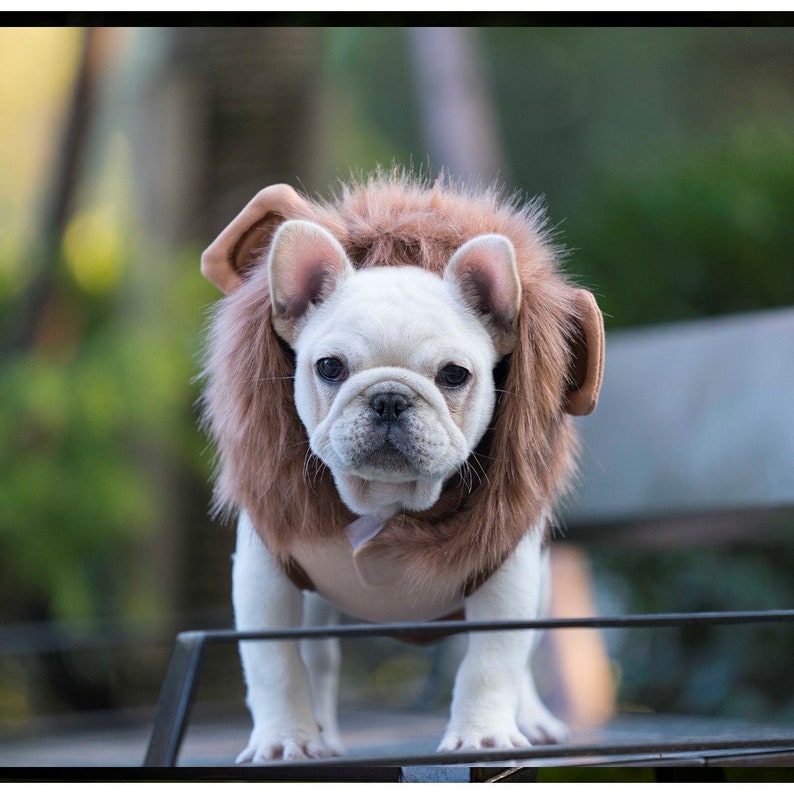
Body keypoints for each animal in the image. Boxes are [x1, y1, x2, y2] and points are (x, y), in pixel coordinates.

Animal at [198, 170, 600, 756]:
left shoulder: (506, 574)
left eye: (454, 375)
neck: (387, 501)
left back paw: (532, 720)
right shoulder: (265, 574)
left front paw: (482, 736)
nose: (388, 398)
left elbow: (493, 660)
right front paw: (285, 741)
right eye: (330, 367)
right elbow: (274, 663)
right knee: (317, 658)